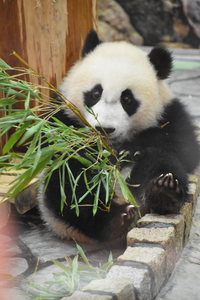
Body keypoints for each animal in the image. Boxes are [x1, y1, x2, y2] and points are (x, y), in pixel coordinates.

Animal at [36, 29, 199, 246]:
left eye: (127, 99)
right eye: (95, 93)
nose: (104, 128)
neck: (111, 145)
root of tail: (126, 199)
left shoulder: (169, 113)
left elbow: (183, 146)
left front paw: (132, 149)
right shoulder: (62, 114)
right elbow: (52, 146)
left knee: (161, 162)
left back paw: (164, 191)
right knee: (71, 186)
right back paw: (115, 219)